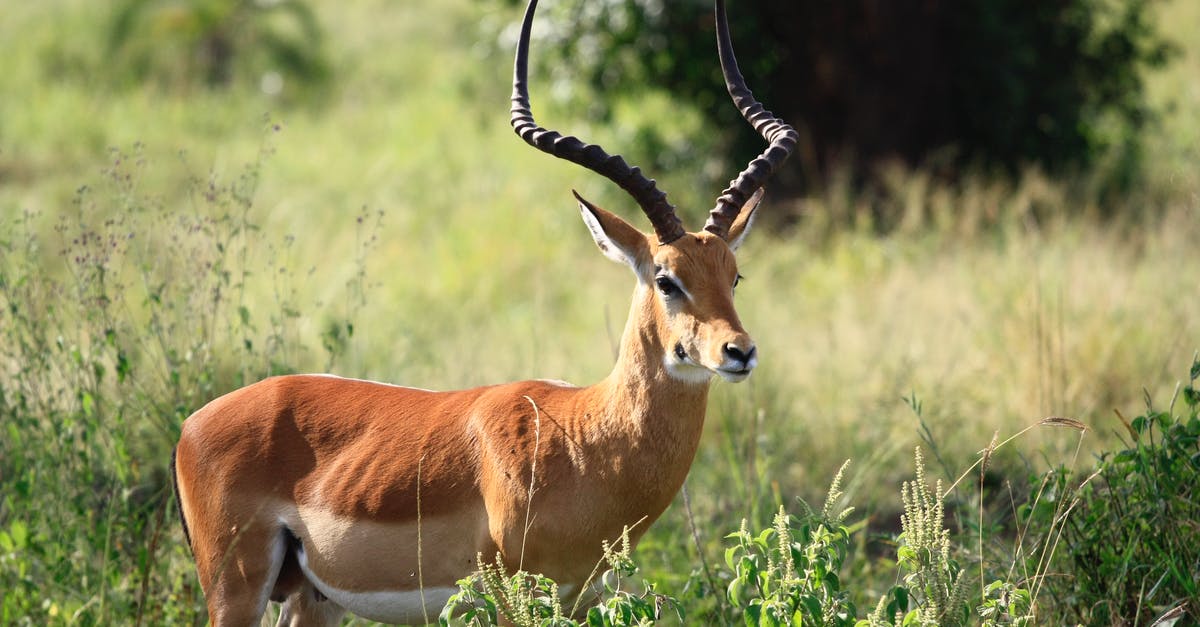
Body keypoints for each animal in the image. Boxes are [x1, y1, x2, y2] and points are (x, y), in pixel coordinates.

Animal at [174, 0, 796, 619]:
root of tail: (192, 424)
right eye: (666, 280)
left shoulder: (579, 598)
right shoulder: (508, 599)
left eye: (733, 276)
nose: (739, 352)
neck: (585, 436)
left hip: (314, 599)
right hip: (236, 590)